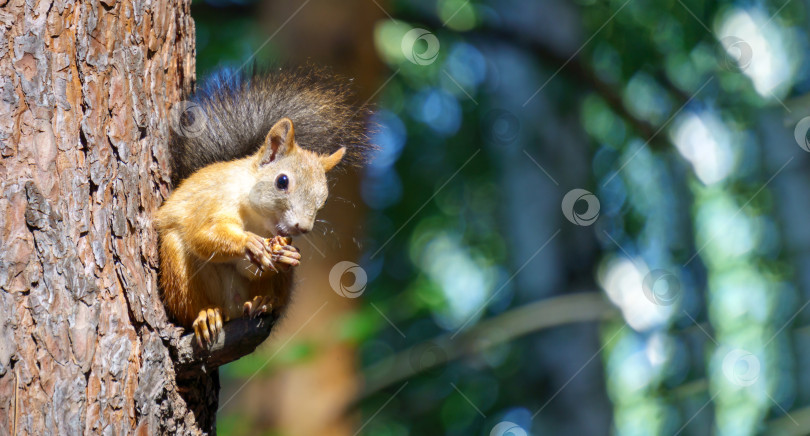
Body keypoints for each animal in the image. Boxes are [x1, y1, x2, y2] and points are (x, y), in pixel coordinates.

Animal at [154, 67, 370, 348]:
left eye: (323, 200)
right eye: (282, 181)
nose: (303, 228)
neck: (257, 218)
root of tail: (231, 308)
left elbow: (254, 268)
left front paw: (289, 254)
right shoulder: (213, 200)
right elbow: (202, 235)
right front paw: (248, 243)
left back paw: (263, 302)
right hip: (177, 268)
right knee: (189, 304)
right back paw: (207, 315)